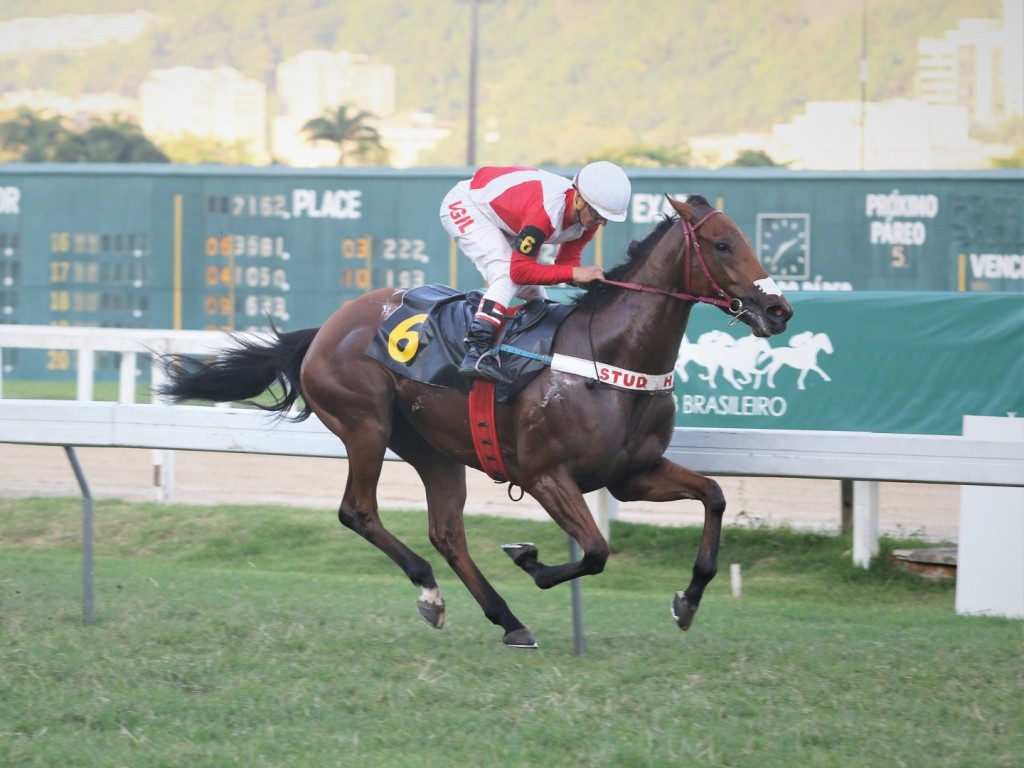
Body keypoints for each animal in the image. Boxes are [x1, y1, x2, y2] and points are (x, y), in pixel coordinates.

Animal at [159, 196, 790, 651]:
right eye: (722, 244)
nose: (779, 309)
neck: (609, 355)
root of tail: (326, 327)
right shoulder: (545, 475)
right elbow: (594, 550)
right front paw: (530, 559)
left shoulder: (632, 475)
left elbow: (713, 497)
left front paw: (687, 600)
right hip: (366, 425)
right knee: (358, 511)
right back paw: (431, 593)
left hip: (433, 448)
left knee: (447, 532)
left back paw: (506, 618)